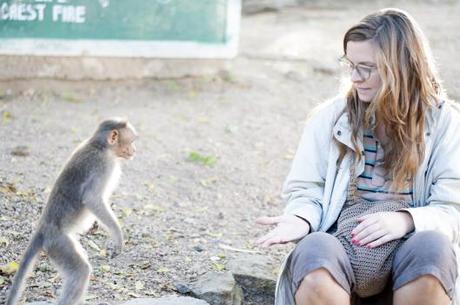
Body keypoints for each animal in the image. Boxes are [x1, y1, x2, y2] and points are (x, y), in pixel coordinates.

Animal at [5, 117, 137, 304]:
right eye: (131, 141)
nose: (134, 149)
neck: (100, 146)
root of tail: (42, 228)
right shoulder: (103, 165)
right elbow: (91, 198)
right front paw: (117, 236)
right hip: (58, 243)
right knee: (80, 271)